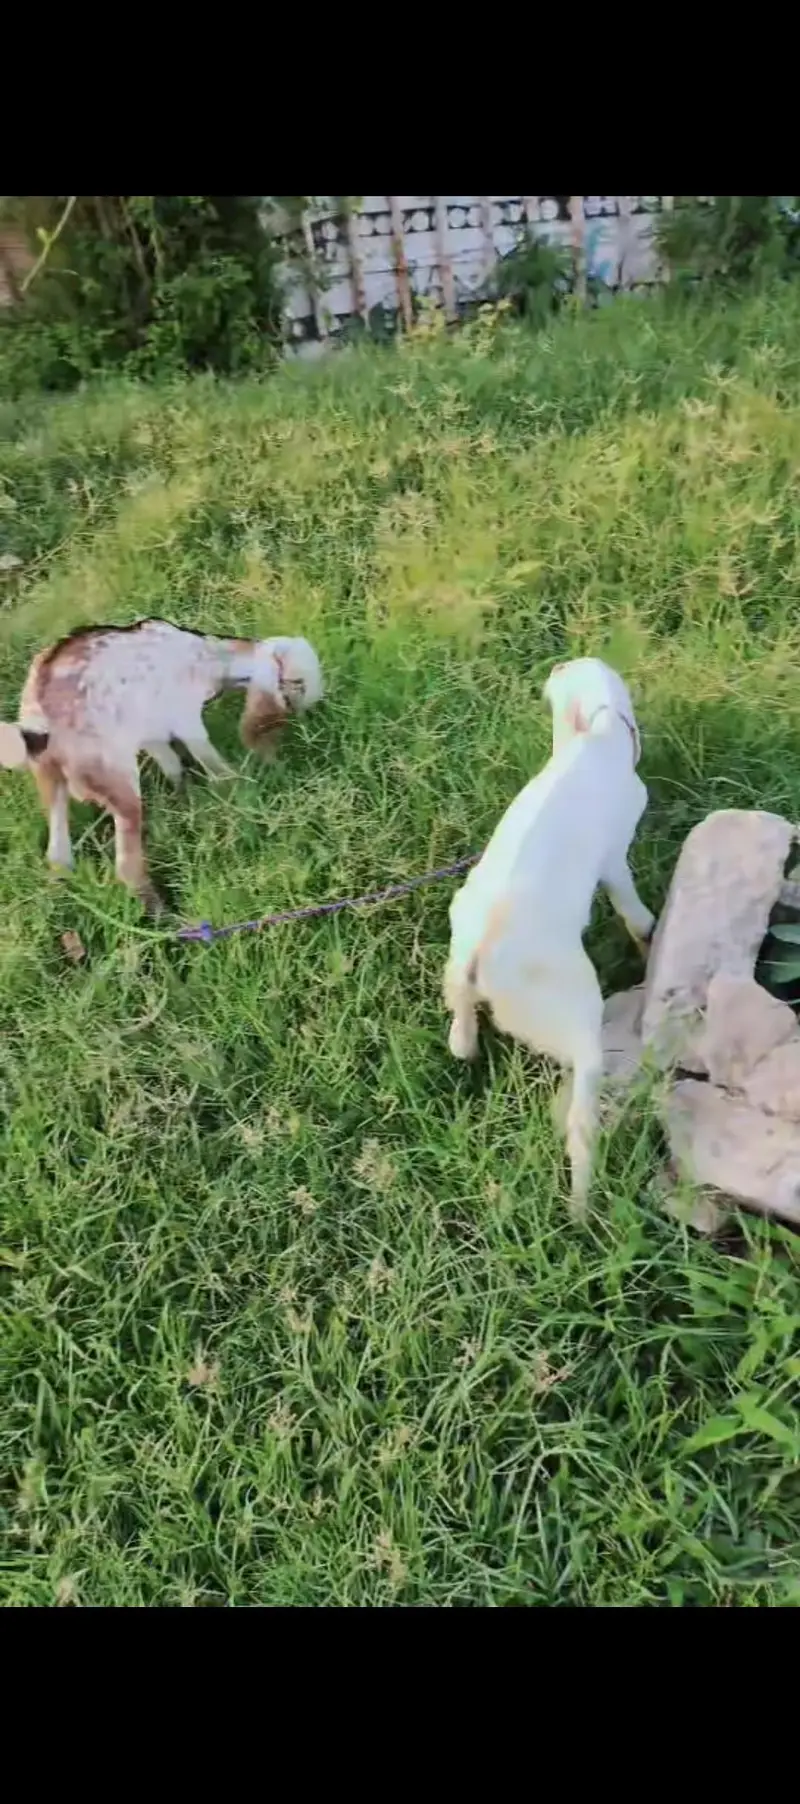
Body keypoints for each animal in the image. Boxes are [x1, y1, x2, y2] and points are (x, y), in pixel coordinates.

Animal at [0, 618, 324, 914]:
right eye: (298, 683)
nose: (306, 722)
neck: (207, 655)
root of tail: (38, 719)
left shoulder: (151, 732)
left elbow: (173, 767)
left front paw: (185, 799)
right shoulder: (186, 720)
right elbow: (217, 768)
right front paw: (244, 794)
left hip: (50, 781)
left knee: (58, 857)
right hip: (118, 781)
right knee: (127, 867)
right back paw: (164, 917)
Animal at [442, 657, 654, 1216]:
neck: (596, 735)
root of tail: (480, 955)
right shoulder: (615, 858)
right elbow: (635, 914)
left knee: (459, 1037)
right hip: (576, 1015)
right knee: (581, 1117)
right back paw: (582, 1208)